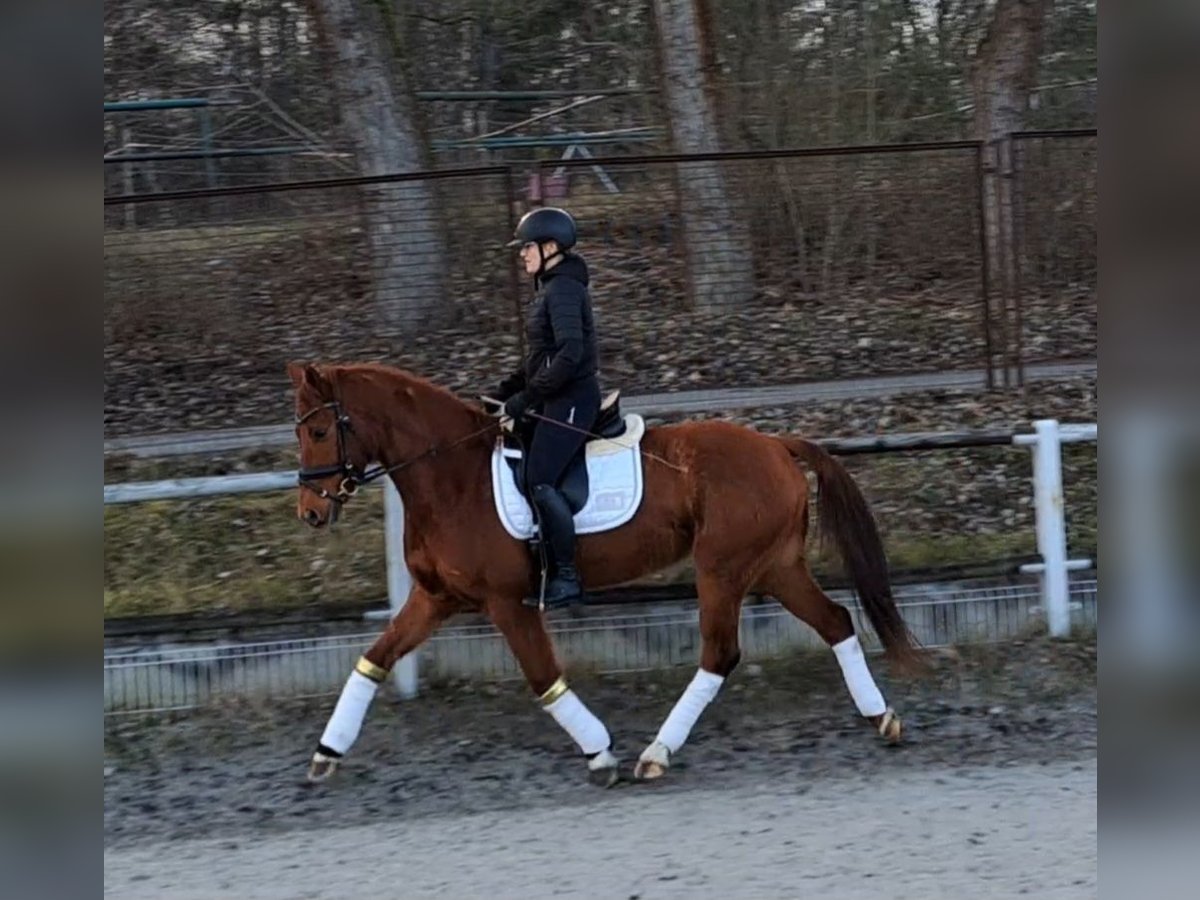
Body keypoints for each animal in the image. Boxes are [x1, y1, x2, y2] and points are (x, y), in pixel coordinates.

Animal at [288, 362, 916, 787]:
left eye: (318, 432)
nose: (310, 513)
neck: (452, 477)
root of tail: (775, 443)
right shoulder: (435, 597)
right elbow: (374, 658)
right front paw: (326, 753)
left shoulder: (507, 602)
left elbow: (544, 679)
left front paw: (601, 753)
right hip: (775, 566)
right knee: (835, 622)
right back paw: (882, 718)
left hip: (724, 570)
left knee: (720, 654)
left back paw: (656, 754)